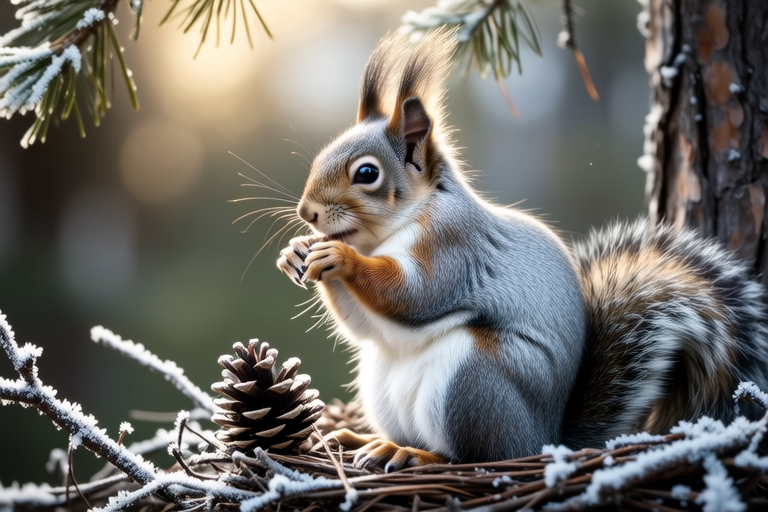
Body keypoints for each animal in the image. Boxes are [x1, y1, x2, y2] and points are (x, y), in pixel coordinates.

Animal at [276, 28, 768, 470]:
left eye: (366, 173)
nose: (306, 212)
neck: (397, 226)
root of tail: (546, 438)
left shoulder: (457, 246)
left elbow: (417, 296)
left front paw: (340, 259)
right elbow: (364, 327)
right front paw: (295, 252)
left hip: (473, 379)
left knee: (475, 456)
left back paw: (411, 454)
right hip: (383, 384)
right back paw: (365, 439)